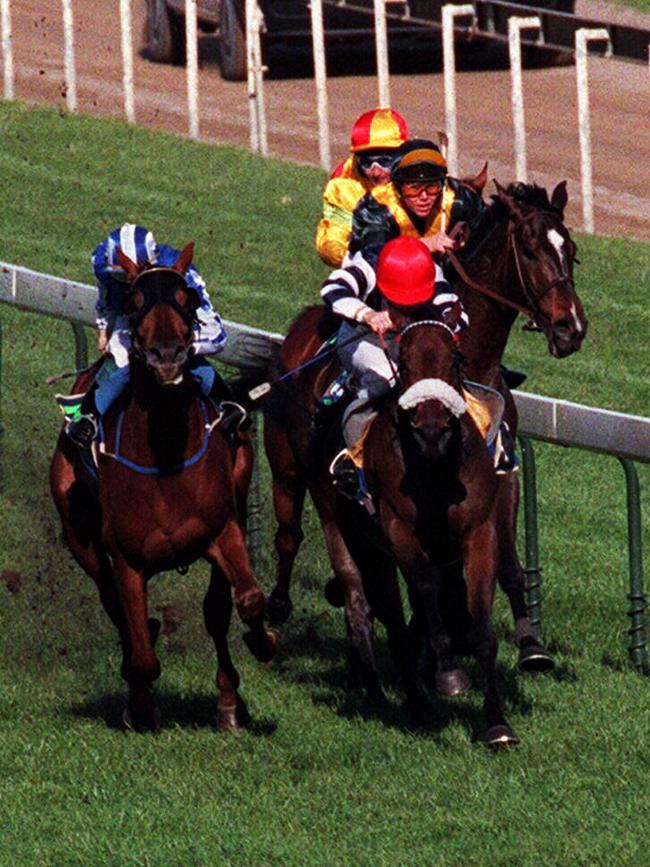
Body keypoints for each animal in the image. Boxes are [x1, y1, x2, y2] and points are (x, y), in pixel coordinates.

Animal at [49, 244, 274, 732]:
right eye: (135, 302)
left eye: (185, 299)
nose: (167, 355)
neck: (165, 454)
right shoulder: (126, 558)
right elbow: (142, 654)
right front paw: (139, 705)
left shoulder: (223, 530)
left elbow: (247, 601)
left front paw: (262, 645)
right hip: (78, 535)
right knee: (115, 608)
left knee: (216, 612)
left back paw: (229, 699)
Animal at [260, 180, 584, 676]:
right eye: (530, 250)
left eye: (571, 250)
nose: (571, 327)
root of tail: (299, 330)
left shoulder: (501, 471)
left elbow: (507, 564)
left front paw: (530, 645)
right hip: (290, 467)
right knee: (290, 535)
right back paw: (280, 612)